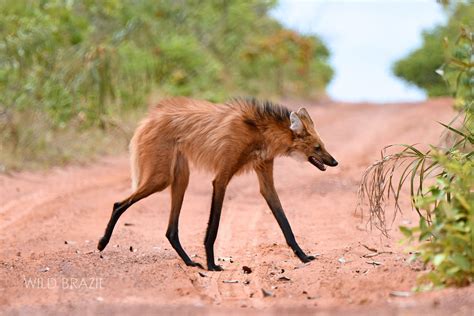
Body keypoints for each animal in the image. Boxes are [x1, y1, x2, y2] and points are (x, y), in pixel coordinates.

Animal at [98, 96, 338, 270]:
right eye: (317, 147)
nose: (334, 161)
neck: (260, 132)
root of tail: (148, 119)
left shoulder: (265, 176)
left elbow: (285, 222)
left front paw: (303, 256)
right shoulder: (221, 178)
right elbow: (213, 227)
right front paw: (212, 265)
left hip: (180, 178)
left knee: (170, 230)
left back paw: (189, 262)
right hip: (161, 178)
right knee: (119, 204)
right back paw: (102, 243)